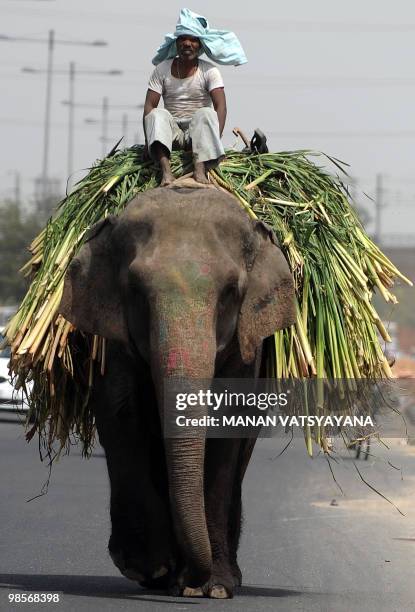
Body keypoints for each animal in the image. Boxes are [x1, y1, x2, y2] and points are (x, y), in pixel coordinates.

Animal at [58, 186, 298, 596]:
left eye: (231, 292)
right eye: (136, 290)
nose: (192, 581)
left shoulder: (245, 343)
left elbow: (228, 419)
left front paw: (212, 588)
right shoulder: (112, 334)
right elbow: (122, 412)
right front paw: (150, 568)